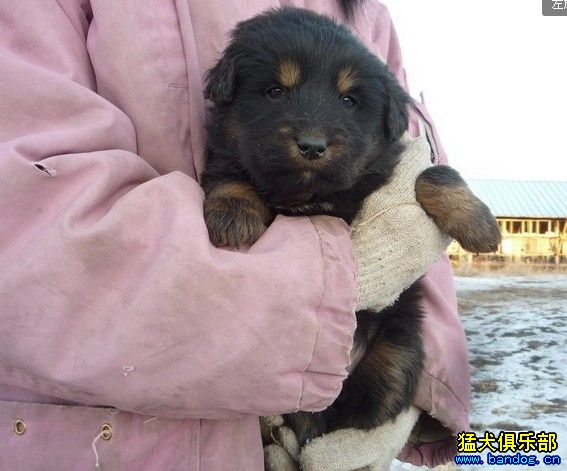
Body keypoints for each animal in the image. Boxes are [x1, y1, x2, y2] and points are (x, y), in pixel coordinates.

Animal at [201, 6, 502, 446]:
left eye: (348, 100)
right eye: (275, 91)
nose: (311, 145)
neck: (309, 193)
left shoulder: (389, 168)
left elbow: (431, 173)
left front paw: (480, 224)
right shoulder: (226, 156)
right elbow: (229, 175)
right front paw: (233, 214)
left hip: (398, 351)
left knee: (360, 413)